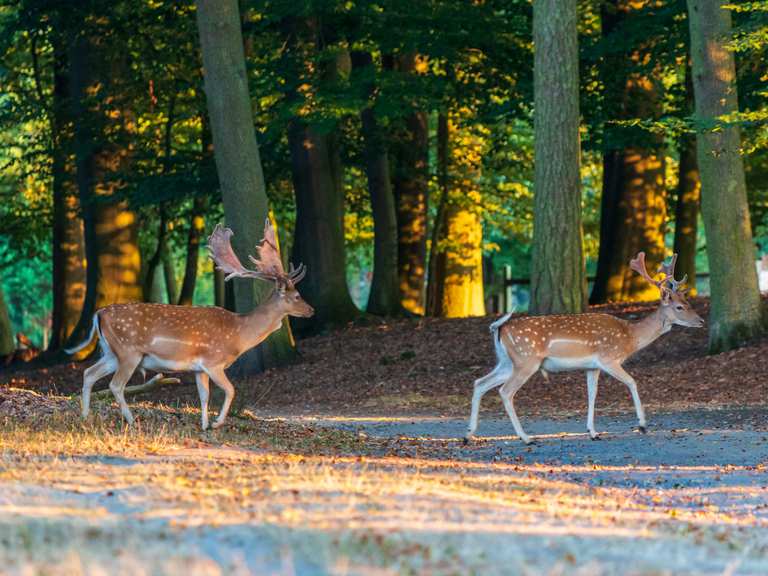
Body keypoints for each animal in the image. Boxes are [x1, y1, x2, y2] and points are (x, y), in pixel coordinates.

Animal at [66, 218, 312, 430]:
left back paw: (85, 417)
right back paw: (131, 420)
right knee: (116, 385)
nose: (312, 310)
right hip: (128, 351)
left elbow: (204, 396)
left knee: (89, 373)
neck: (238, 334)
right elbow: (230, 390)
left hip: (111, 352)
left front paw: (204, 425)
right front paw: (216, 423)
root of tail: (99, 313)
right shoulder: (213, 361)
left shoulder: (198, 368)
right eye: (297, 295)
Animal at [464, 250, 704, 444]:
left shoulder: (592, 366)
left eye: (687, 302)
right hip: (526, 360)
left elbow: (592, 394)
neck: (629, 337)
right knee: (505, 391)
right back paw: (525, 437)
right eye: (680, 306)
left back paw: (469, 435)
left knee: (480, 383)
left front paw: (593, 432)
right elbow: (632, 382)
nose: (701, 321)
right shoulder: (609, 358)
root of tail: (499, 328)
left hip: (507, 361)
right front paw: (642, 425)